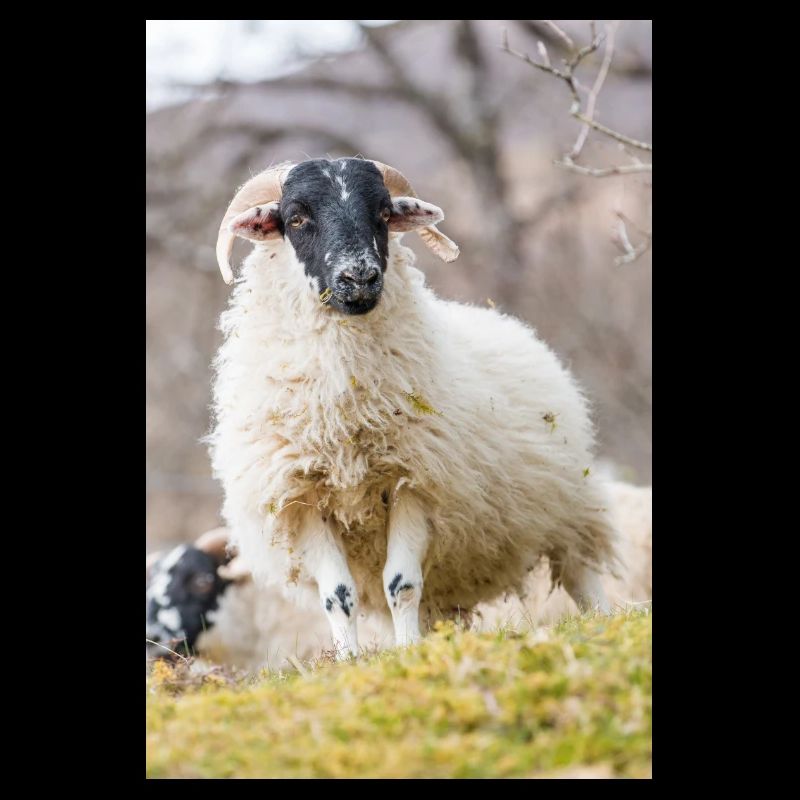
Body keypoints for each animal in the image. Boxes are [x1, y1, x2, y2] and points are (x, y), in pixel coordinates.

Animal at [207, 157, 620, 659]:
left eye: (384, 214)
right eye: (297, 218)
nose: (360, 278)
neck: (344, 417)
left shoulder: (415, 482)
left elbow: (401, 583)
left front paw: (408, 653)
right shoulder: (301, 497)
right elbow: (336, 595)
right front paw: (350, 659)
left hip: (569, 506)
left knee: (581, 571)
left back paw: (602, 622)